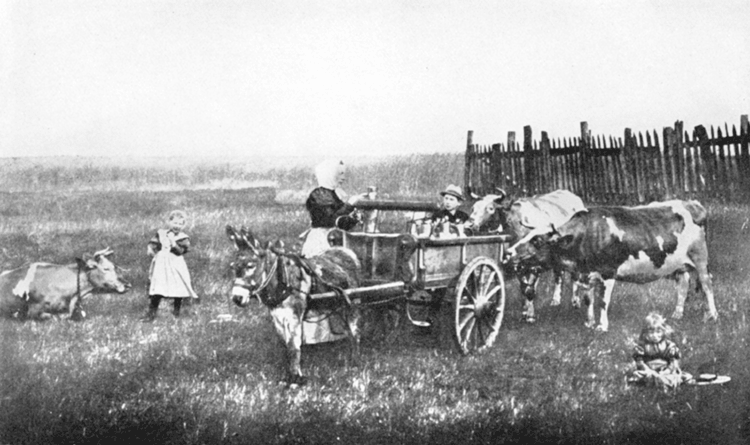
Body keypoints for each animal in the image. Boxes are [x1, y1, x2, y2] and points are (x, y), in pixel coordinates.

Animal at [470, 189, 588, 320]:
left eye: (490, 208)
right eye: (473, 207)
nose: (470, 224)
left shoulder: (535, 266)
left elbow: (530, 290)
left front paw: (530, 315)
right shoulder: (517, 266)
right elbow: (524, 289)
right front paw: (525, 310)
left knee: (575, 275)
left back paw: (575, 301)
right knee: (558, 274)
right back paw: (556, 300)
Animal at [508, 199, 720, 332]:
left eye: (537, 241)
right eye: (526, 236)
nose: (509, 251)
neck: (586, 235)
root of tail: (691, 203)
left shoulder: (608, 273)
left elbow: (602, 301)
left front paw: (602, 326)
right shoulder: (587, 274)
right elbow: (588, 299)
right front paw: (589, 323)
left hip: (700, 258)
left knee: (707, 285)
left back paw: (713, 315)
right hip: (678, 265)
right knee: (683, 286)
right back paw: (677, 314)